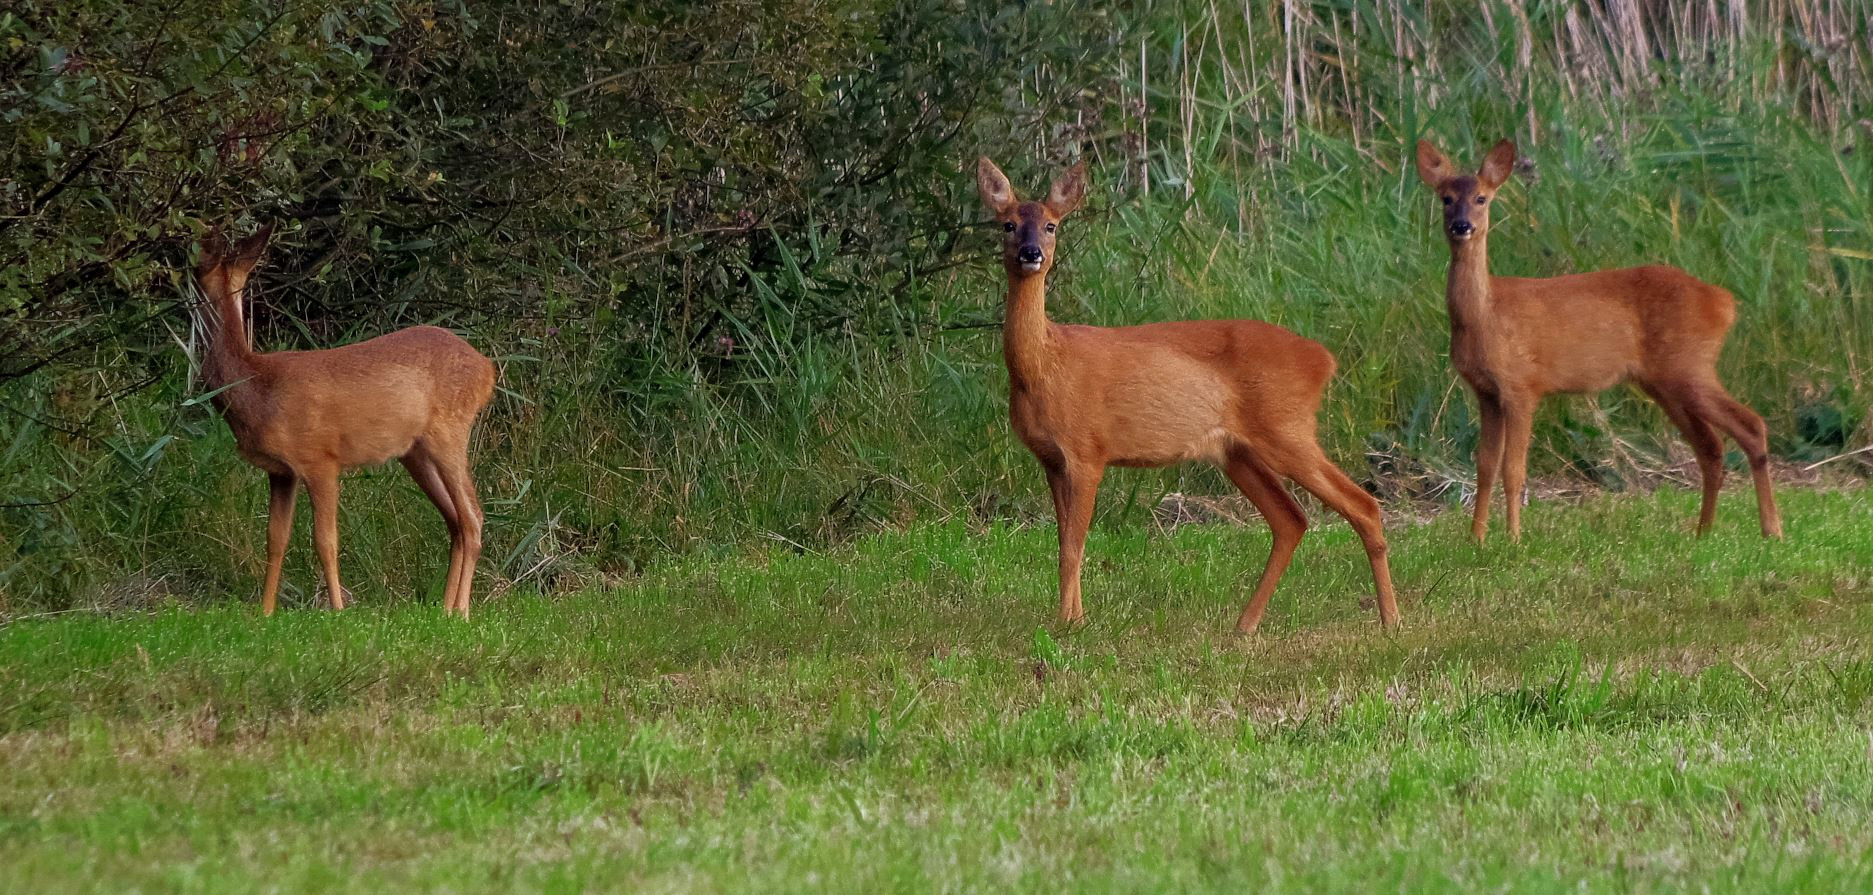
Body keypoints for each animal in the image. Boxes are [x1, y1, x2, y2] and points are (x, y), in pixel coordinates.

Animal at [195, 225, 498, 614]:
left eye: (195, 269)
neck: (259, 388)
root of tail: (487, 368)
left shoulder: (321, 460)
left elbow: (325, 540)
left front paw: (337, 609)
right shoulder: (281, 471)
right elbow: (275, 539)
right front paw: (265, 612)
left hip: (450, 430)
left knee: (473, 517)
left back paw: (460, 611)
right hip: (415, 452)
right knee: (456, 520)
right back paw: (444, 609)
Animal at [981, 157, 1393, 632]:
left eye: (1051, 225)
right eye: (1008, 224)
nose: (1031, 253)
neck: (1047, 364)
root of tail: (1323, 360)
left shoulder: (1087, 451)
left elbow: (1073, 547)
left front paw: (1068, 624)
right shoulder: (1051, 459)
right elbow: (1064, 543)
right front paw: (1075, 617)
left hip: (1287, 428)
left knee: (1362, 504)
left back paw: (1391, 620)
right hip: (1237, 451)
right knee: (1291, 520)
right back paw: (1244, 625)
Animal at [1415, 140, 1783, 546]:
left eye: (1481, 198)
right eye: (1446, 198)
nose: (1462, 225)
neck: (1485, 317)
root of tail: (1723, 302)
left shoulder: (1522, 385)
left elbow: (1513, 469)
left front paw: (1513, 538)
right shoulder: (1486, 392)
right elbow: (1484, 466)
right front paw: (1476, 539)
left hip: (1689, 366)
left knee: (1751, 425)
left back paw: (1771, 529)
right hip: (1665, 381)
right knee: (1711, 446)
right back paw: (1704, 531)